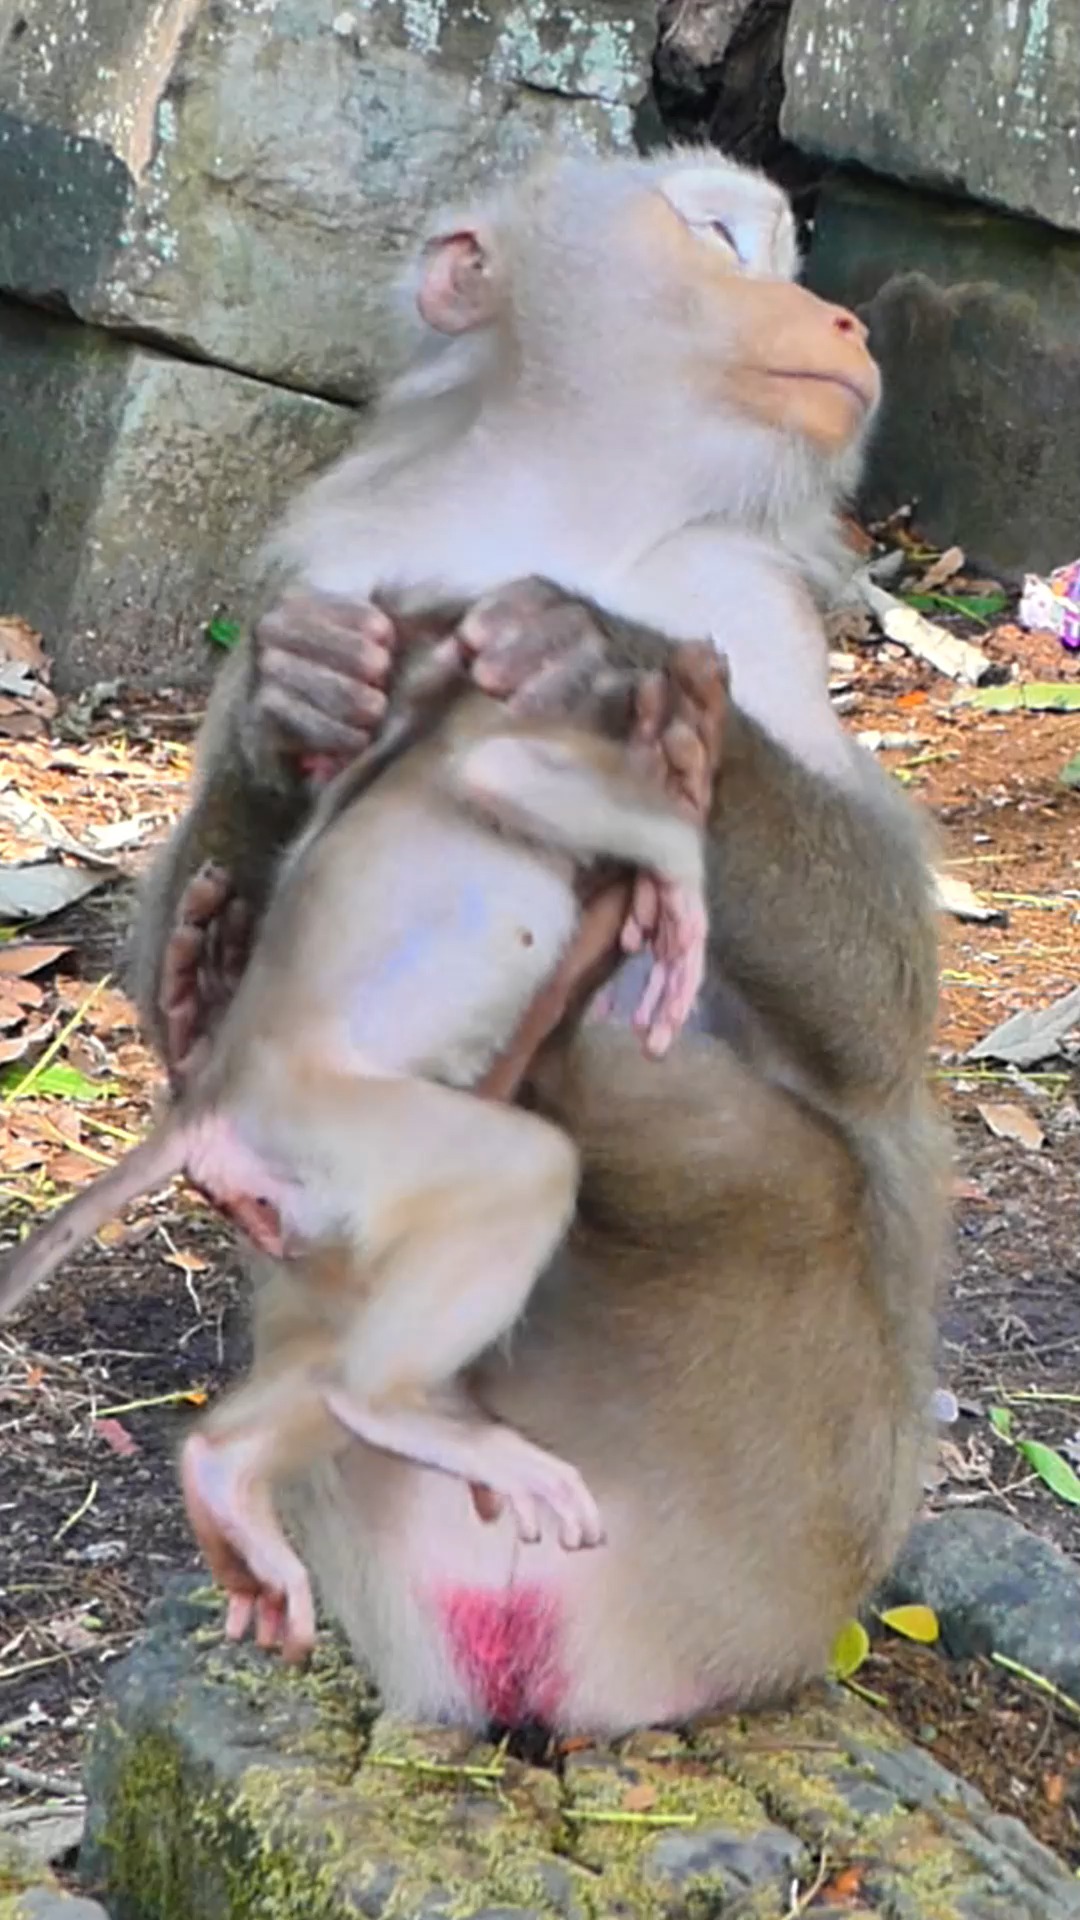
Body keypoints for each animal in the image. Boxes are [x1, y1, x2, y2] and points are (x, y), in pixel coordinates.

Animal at [1, 650, 720, 1663]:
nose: (679, 679)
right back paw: (384, 1406)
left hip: (306, 1194)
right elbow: (507, 777)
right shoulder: (506, 737)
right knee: (522, 1174)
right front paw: (682, 880)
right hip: (330, 1120)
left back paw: (227, 1475)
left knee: (353, 1311)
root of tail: (219, 1091)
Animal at [129, 146, 946, 1729]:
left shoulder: (742, 602)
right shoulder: (339, 556)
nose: (841, 320)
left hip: (794, 1484)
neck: (564, 505)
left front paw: (611, 665)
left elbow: (881, 1020)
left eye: (783, 248)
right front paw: (291, 715)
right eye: (722, 238)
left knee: (678, 1111)